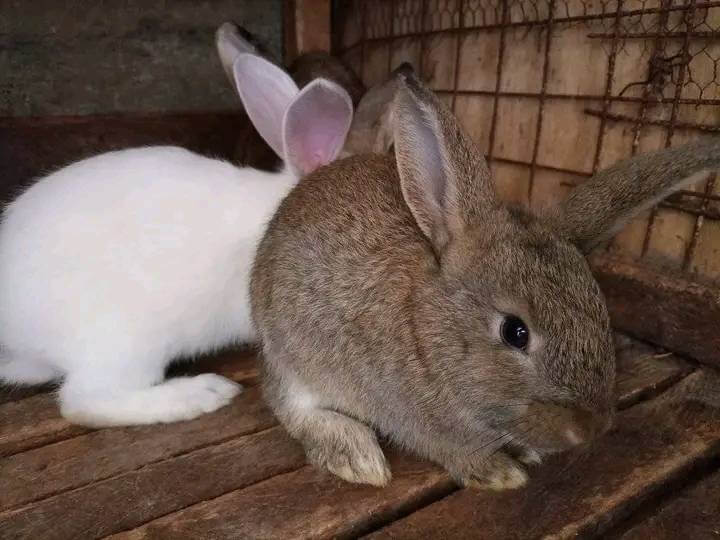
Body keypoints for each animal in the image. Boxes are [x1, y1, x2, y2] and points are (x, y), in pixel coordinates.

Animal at [250, 69, 720, 491]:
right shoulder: (408, 413)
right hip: (290, 354)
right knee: (289, 406)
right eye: (515, 332)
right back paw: (356, 455)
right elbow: (447, 447)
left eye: (601, 312)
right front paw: (498, 472)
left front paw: (523, 451)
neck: (425, 332)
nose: (589, 429)